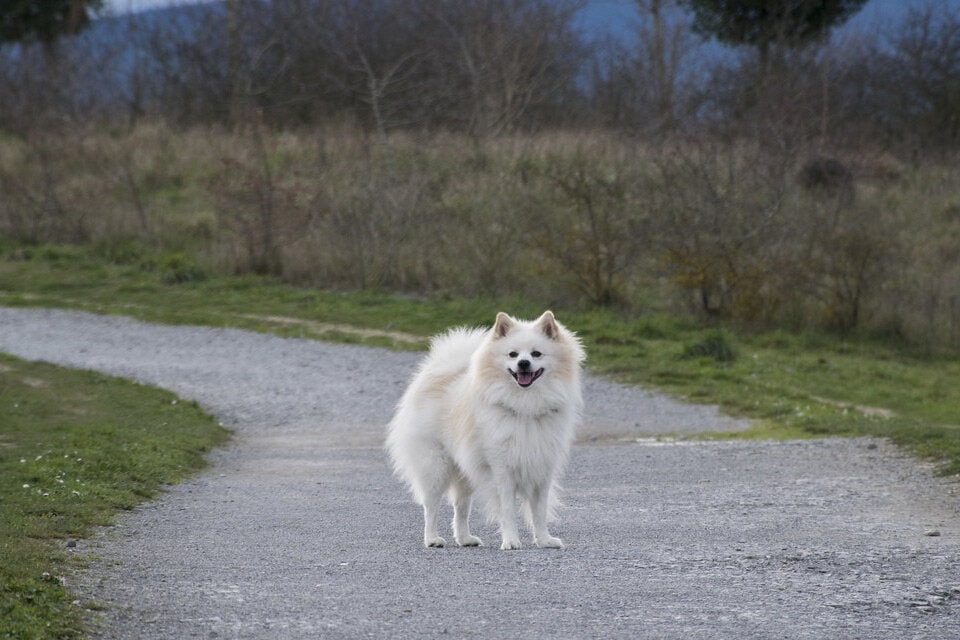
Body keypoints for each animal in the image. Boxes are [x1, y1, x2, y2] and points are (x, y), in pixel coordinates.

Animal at [384, 312, 584, 552]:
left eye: (536, 353)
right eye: (513, 354)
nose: (523, 363)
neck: (525, 406)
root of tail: (435, 373)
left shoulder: (542, 470)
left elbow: (539, 512)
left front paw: (544, 540)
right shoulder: (503, 471)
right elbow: (508, 511)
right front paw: (511, 541)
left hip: (465, 471)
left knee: (460, 508)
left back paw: (465, 538)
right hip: (435, 467)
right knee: (431, 506)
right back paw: (432, 539)